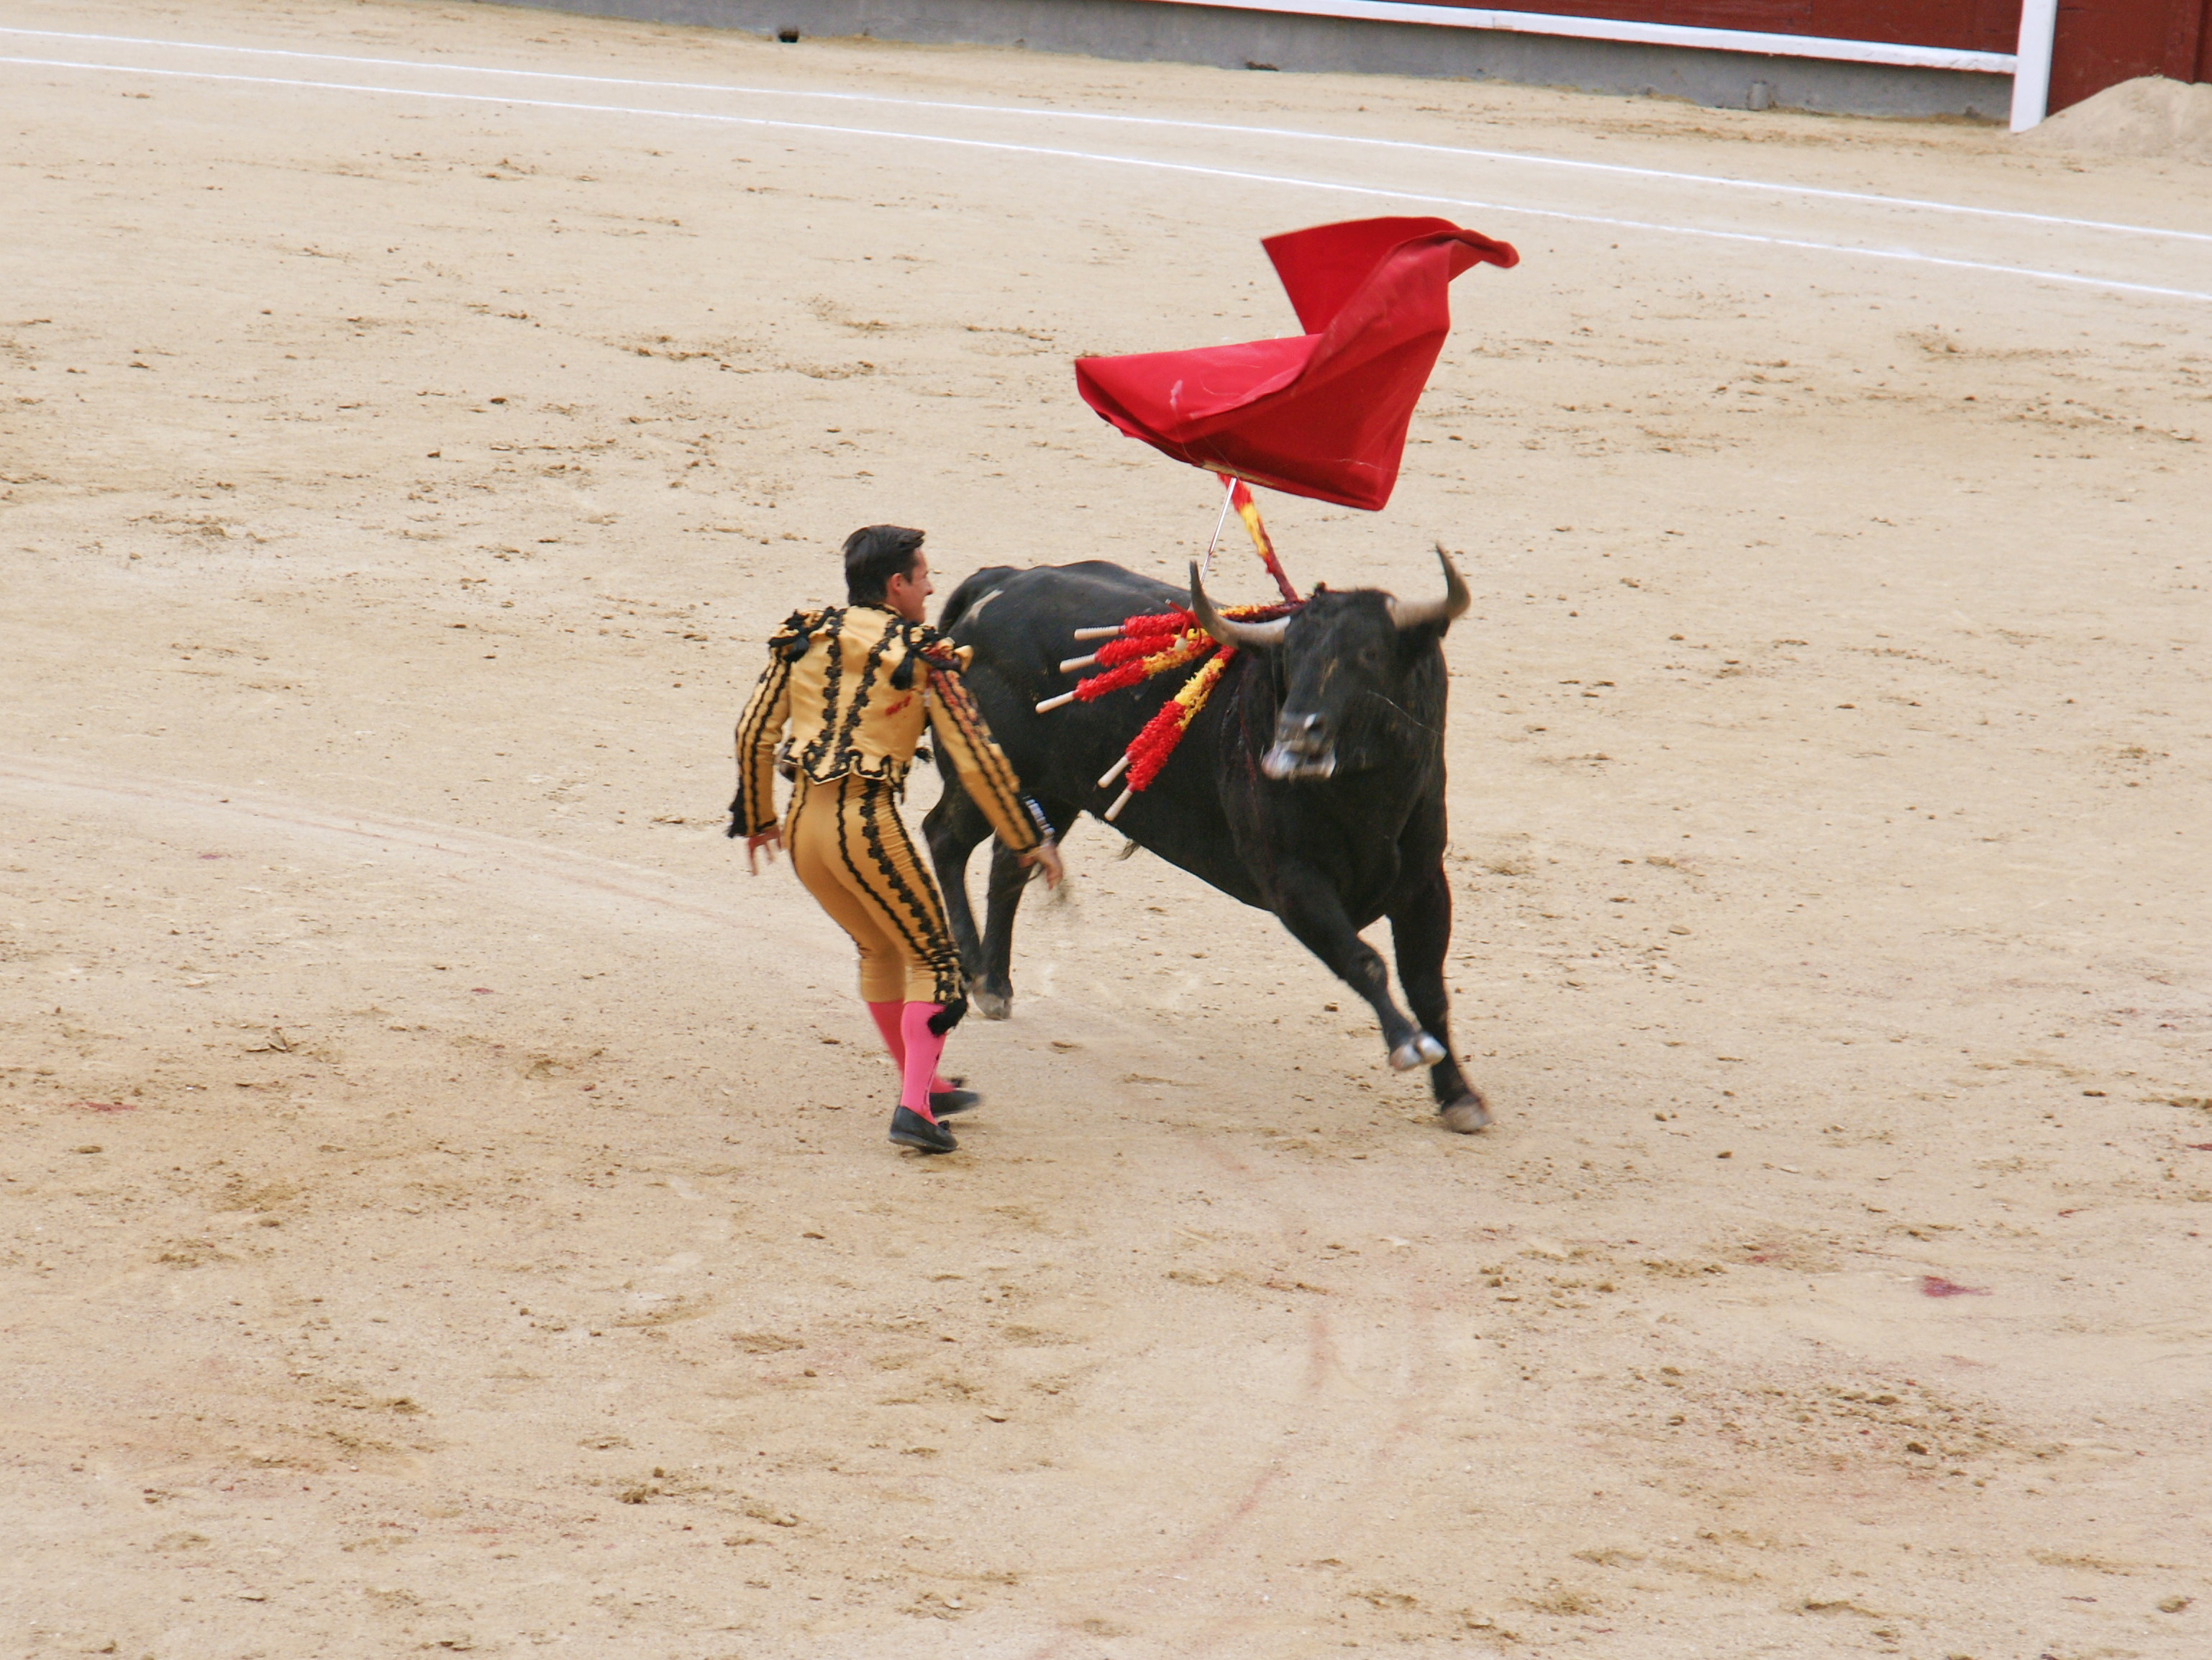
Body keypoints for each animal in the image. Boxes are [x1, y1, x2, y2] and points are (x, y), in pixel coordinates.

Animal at [921, 550, 1489, 1133]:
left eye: (1370, 654)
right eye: (1290, 656)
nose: (1295, 733)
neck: (1366, 796)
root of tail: (1002, 581)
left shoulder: (1425, 885)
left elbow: (1428, 987)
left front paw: (1458, 1096)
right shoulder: (1294, 884)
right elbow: (1365, 960)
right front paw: (1408, 1045)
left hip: (1055, 792)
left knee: (1010, 861)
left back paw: (995, 984)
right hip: (980, 773)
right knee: (945, 839)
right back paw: (972, 966)